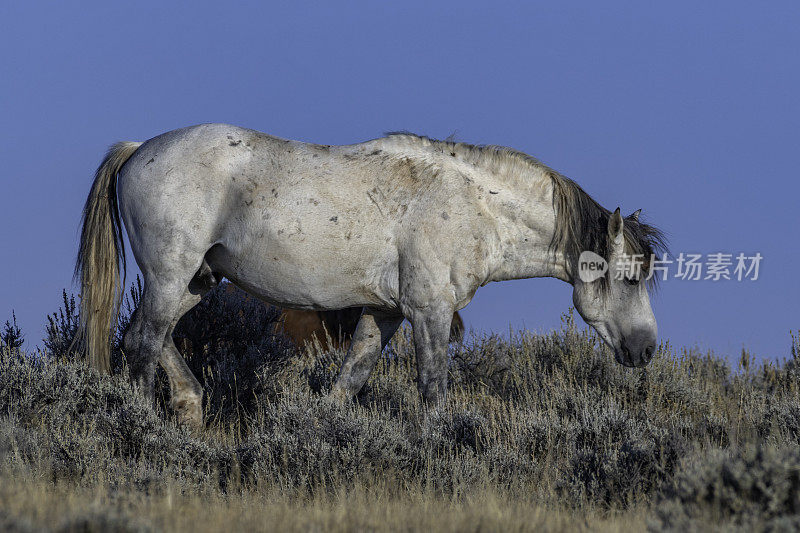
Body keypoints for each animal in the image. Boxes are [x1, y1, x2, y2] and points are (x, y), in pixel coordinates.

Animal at [75, 122, 664, 426]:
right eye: (629, 277)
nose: (645, 350)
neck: (472, 204)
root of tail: (138, 151)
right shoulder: (428, 312)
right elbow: (432, 391)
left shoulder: (384, 314)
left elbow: (347, 384)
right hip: (170, 277)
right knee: (143, 343)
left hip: (195, 282)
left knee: (153, 339)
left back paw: (191, 409)